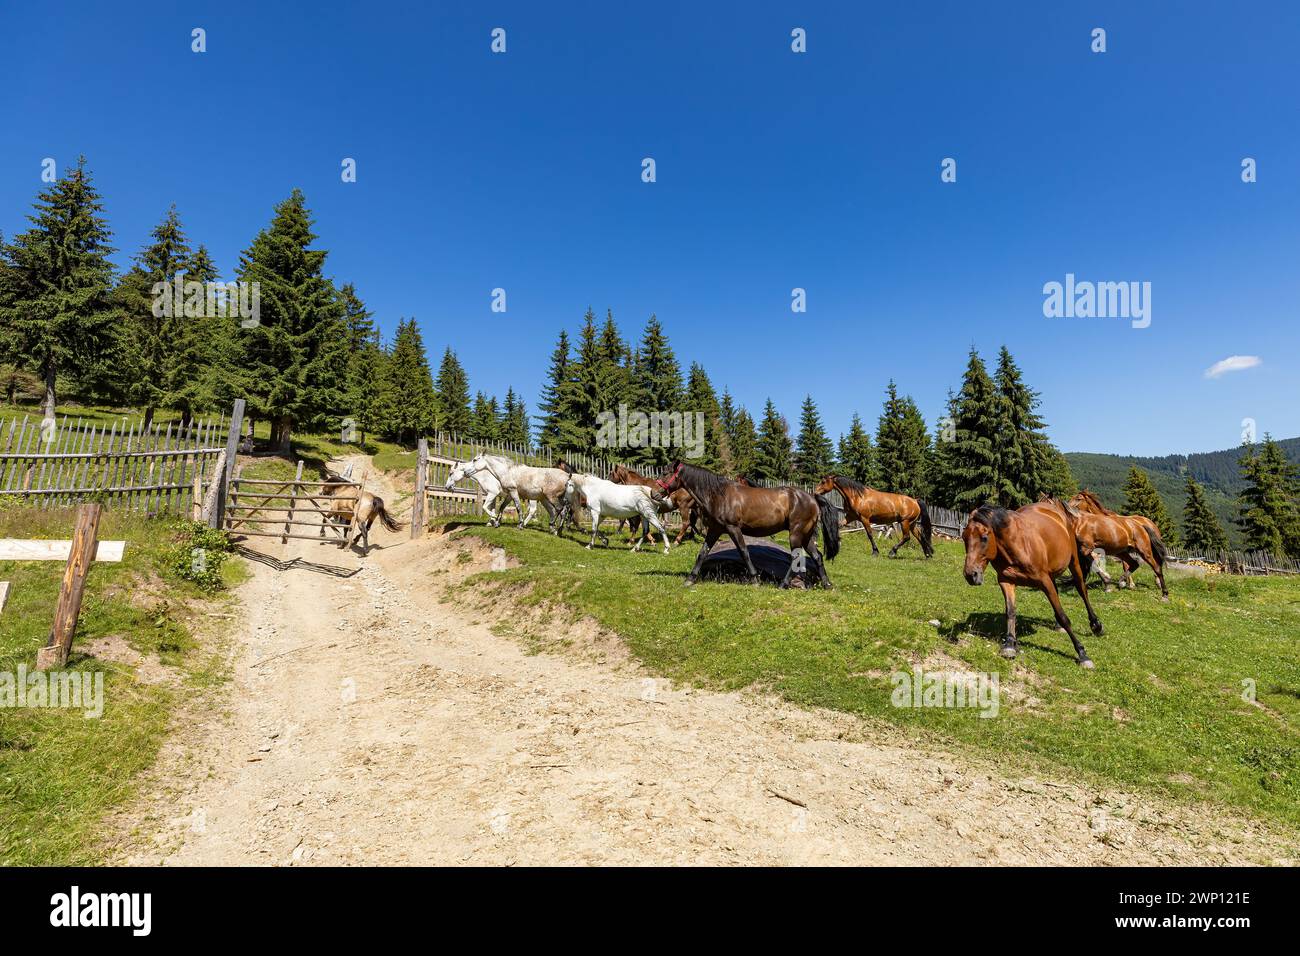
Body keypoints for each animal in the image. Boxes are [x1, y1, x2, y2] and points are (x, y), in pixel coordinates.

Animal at [657, 461, 840, 588]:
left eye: (665, 473)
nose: (655, 493)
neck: (719, 495)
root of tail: (812, 498)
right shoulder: (715, 530)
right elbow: (703, 553)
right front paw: (690, 579)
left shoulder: (733, 528)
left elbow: (744, 552)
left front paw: (755, 579)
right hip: (806, 536)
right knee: (817, 556)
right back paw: (827, 584)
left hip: (796, 533)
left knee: (796, 557)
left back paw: (783, 584)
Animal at [962, 499, 1104, 667]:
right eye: (964, 537)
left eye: (984, 537)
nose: (970, 575)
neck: (1017, 545)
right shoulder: (1006, 581)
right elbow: (1010, 611)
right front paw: (1009, 644)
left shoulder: (1044, 581)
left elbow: (1063, 616)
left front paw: (1082, 653)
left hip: (1074, 562)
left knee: (1082, 589)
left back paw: (1096, 625)